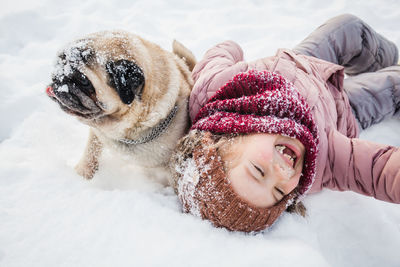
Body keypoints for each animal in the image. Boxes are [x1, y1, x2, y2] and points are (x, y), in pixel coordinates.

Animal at [46, 30, 196, 182]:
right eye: (60, 60)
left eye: (83, 80)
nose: (59, 77)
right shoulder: (97, 133)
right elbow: (91, 150)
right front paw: (83, 173)